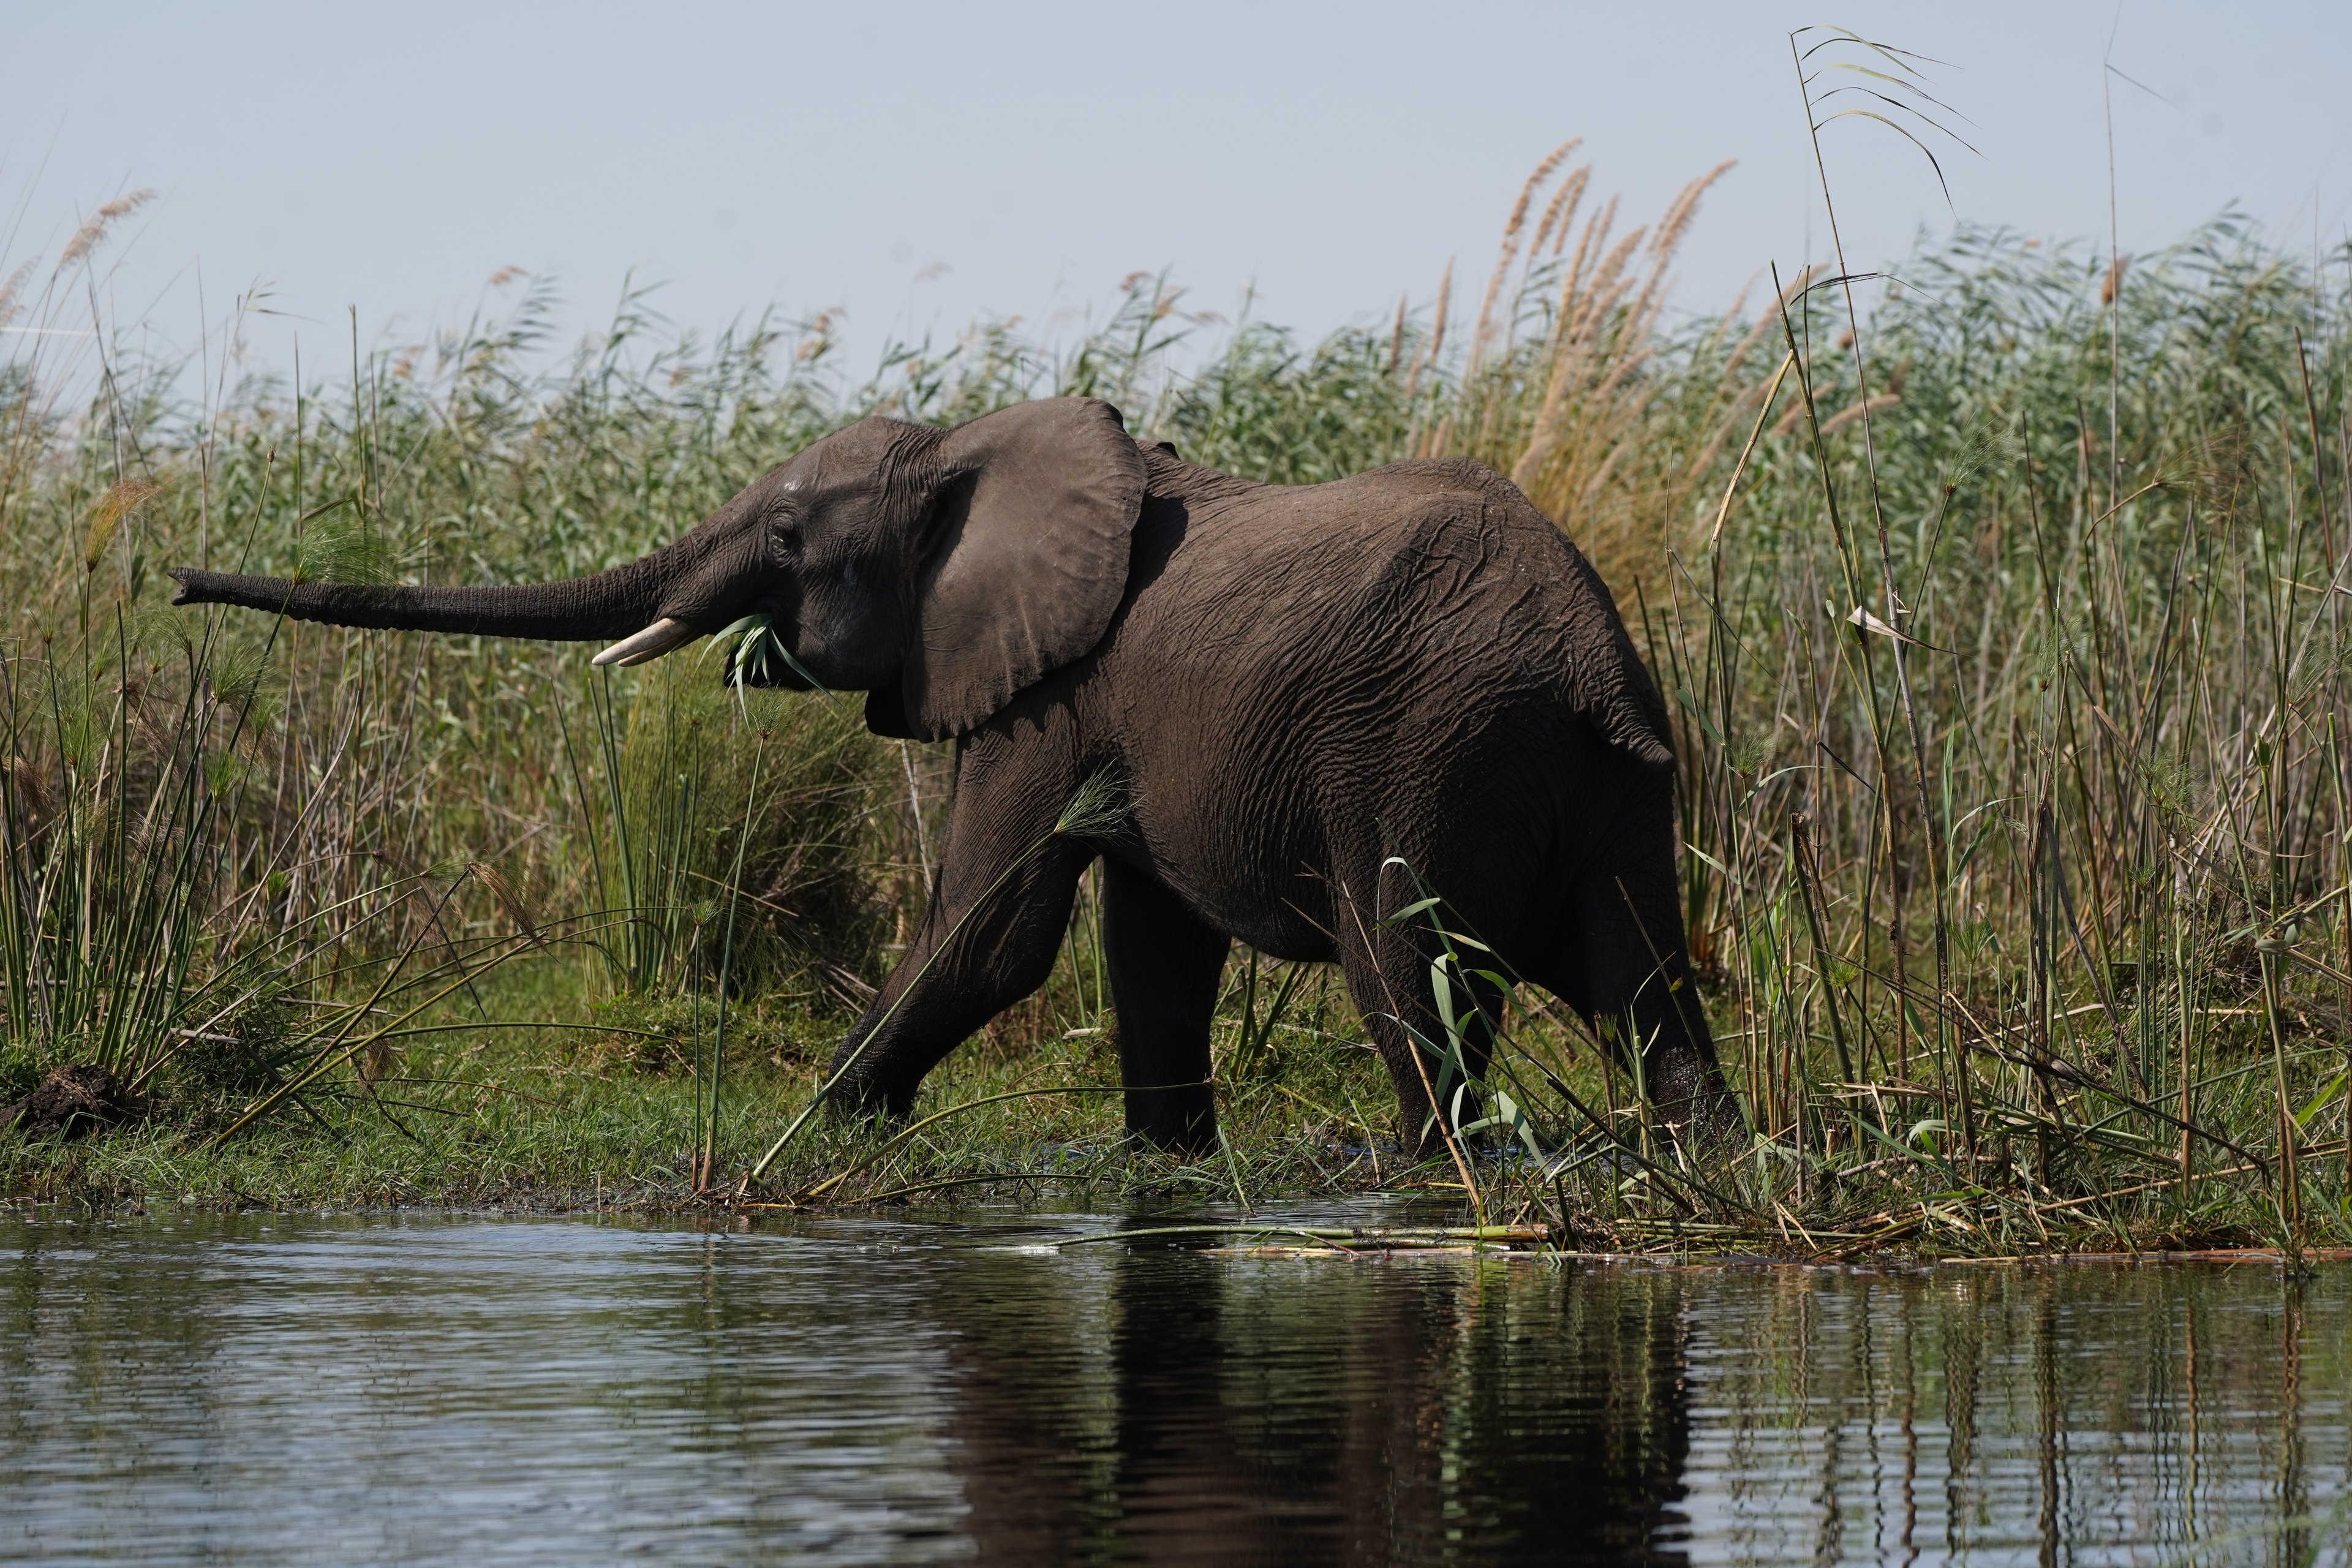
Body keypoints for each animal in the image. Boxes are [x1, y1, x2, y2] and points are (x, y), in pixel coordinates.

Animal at [174, 392, 1740, 1152]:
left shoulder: (1049, 690)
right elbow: (1149, 948)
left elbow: (992, 935)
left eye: (790, 539)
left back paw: (1423, 1176)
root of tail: (1588, 648)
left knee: (1407, 969)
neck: (977, 446)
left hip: (1426, 745)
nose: (177, 582)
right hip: (1602, 776)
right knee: (1644, 977)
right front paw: (1164, 1170)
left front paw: (810, 1134)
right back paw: (1714, 1162)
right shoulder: (1116, 715)